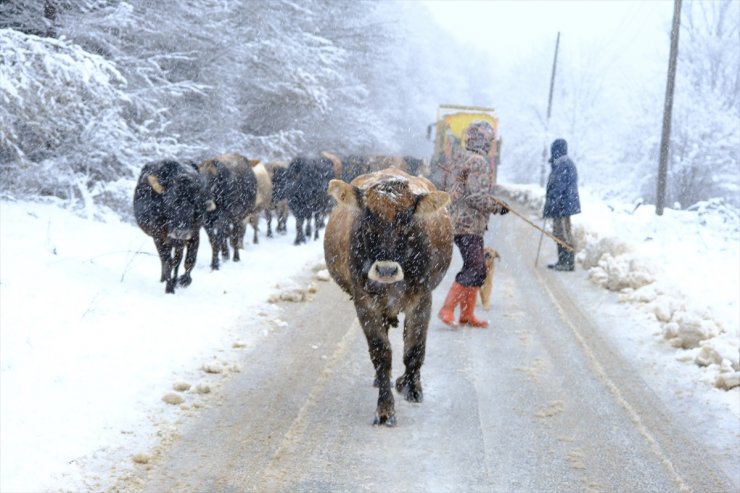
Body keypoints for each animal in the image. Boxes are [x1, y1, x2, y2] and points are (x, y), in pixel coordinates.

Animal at [132, 160, 214, 292]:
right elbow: (167, 261)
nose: (181, 232)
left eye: (195, 204)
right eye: (171, 202)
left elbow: (189, 260)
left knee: (178, 259)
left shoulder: (194, 234)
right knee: (166, 260)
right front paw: (169, 288)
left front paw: (184, 281)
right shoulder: (159, 237)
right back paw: (164, 279)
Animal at [326, 167, 454, 424]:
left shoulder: (422, 299)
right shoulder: (364, 302)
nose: (386, 270)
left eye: (407, 221)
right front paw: (385, 409)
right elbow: (381, 352)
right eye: (368, 219)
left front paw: (412, 388)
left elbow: (414, 349)